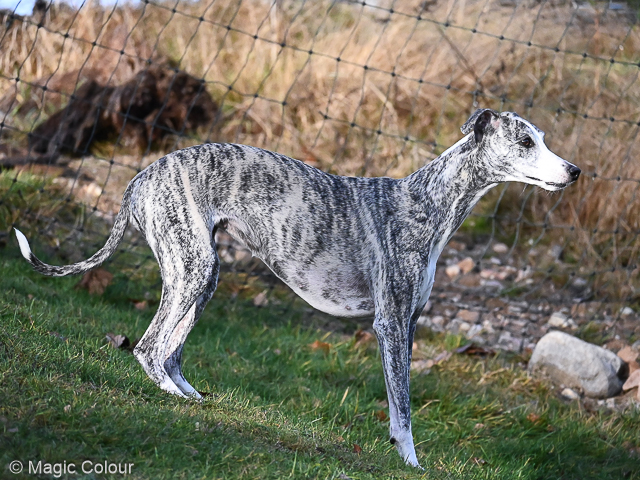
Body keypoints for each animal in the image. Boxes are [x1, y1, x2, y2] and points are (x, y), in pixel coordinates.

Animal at [15, 109, 580, 464]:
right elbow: (402, 407)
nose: (574, 171)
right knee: (151, 348)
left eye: (544, 138)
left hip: (200, 274)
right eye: (526, 142)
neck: (426, 203)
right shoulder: (391, 324)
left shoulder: (410, 323)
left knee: (169, 351)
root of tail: (140, 178)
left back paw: (196, 399)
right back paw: (178, 402)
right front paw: (412, 462)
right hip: (193, 267)